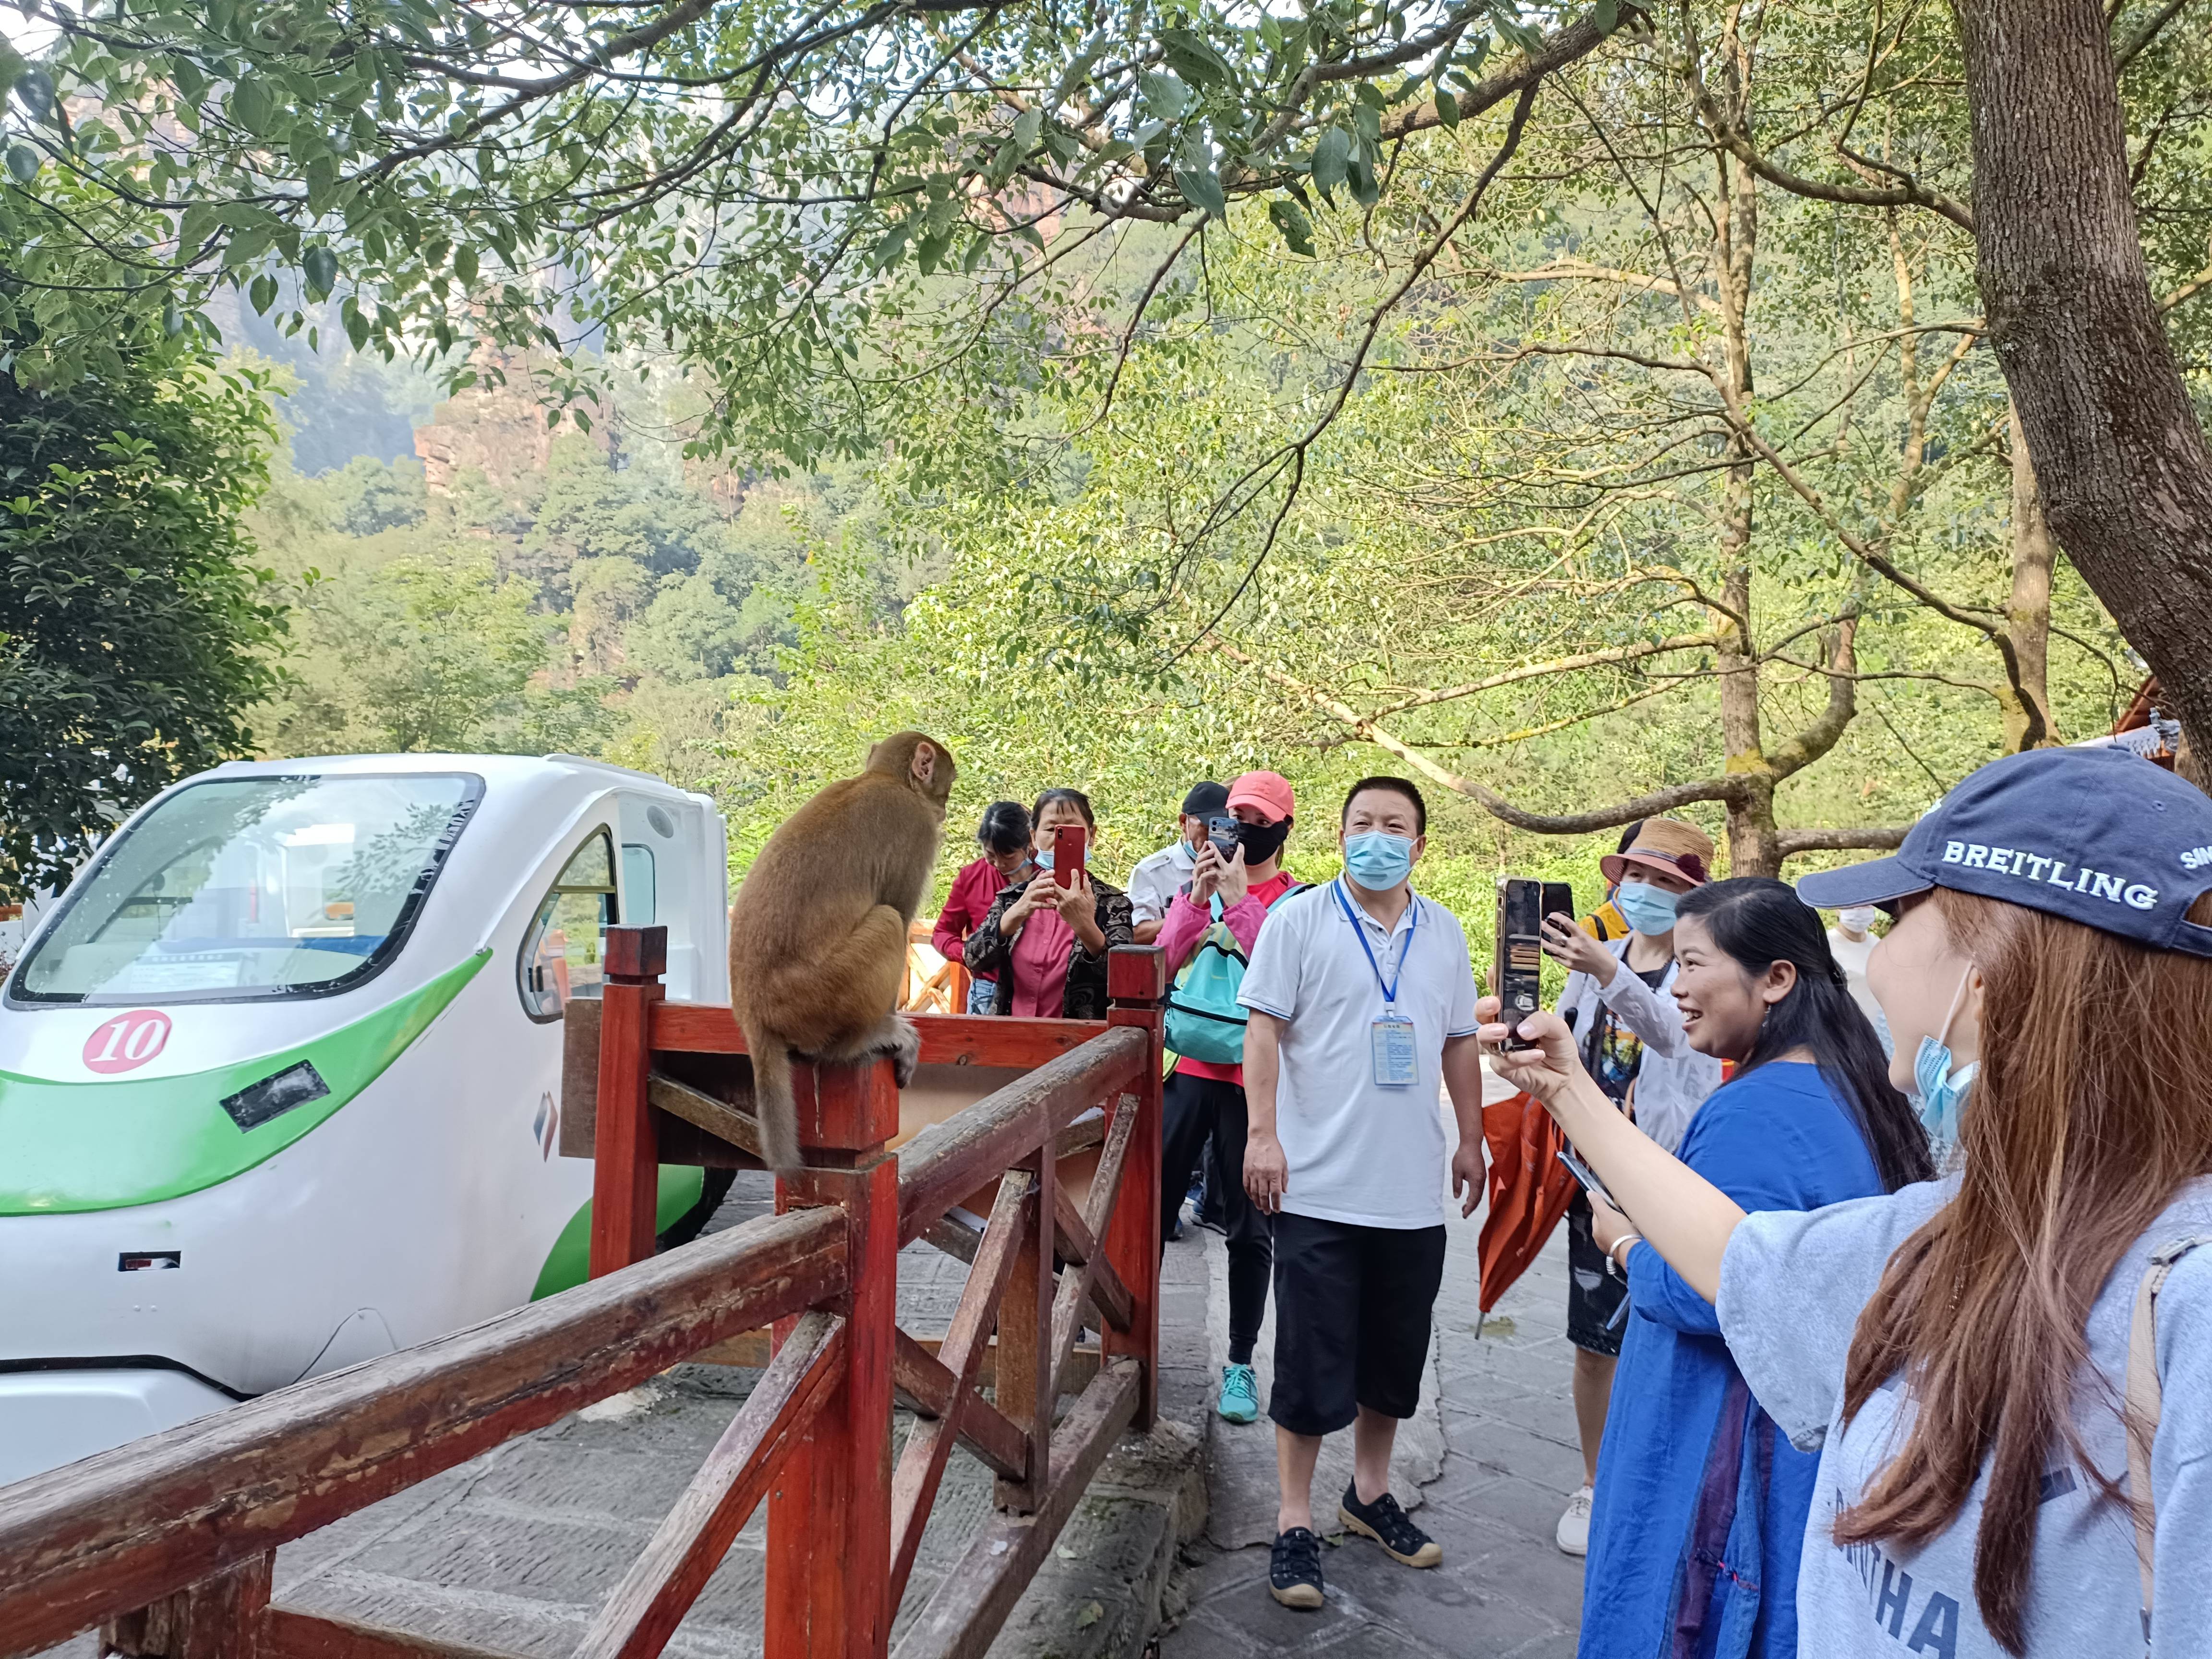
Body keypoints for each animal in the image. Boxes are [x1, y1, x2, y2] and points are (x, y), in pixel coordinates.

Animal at [730, 734, 955, 1177]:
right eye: (948, 785)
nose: (944, 808)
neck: (886, 778)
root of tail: (752, 1012)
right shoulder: (915, 828)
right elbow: (901, 913)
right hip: (822, 993)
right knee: (888, 921)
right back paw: (860, 1041)